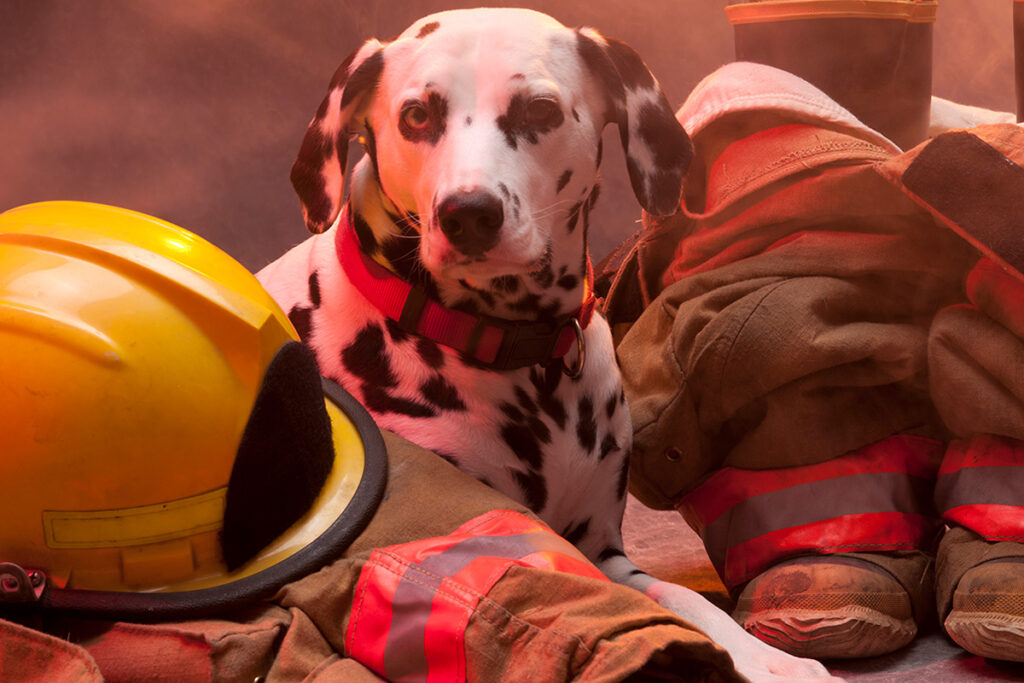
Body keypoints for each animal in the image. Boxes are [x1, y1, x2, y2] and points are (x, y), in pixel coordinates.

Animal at [258, 7, 839, 679]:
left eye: (539, 111)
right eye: (417, 115)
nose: (468, 213)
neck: (519, 353)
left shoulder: (605, 552)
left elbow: (681, 596)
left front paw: (768, 657)